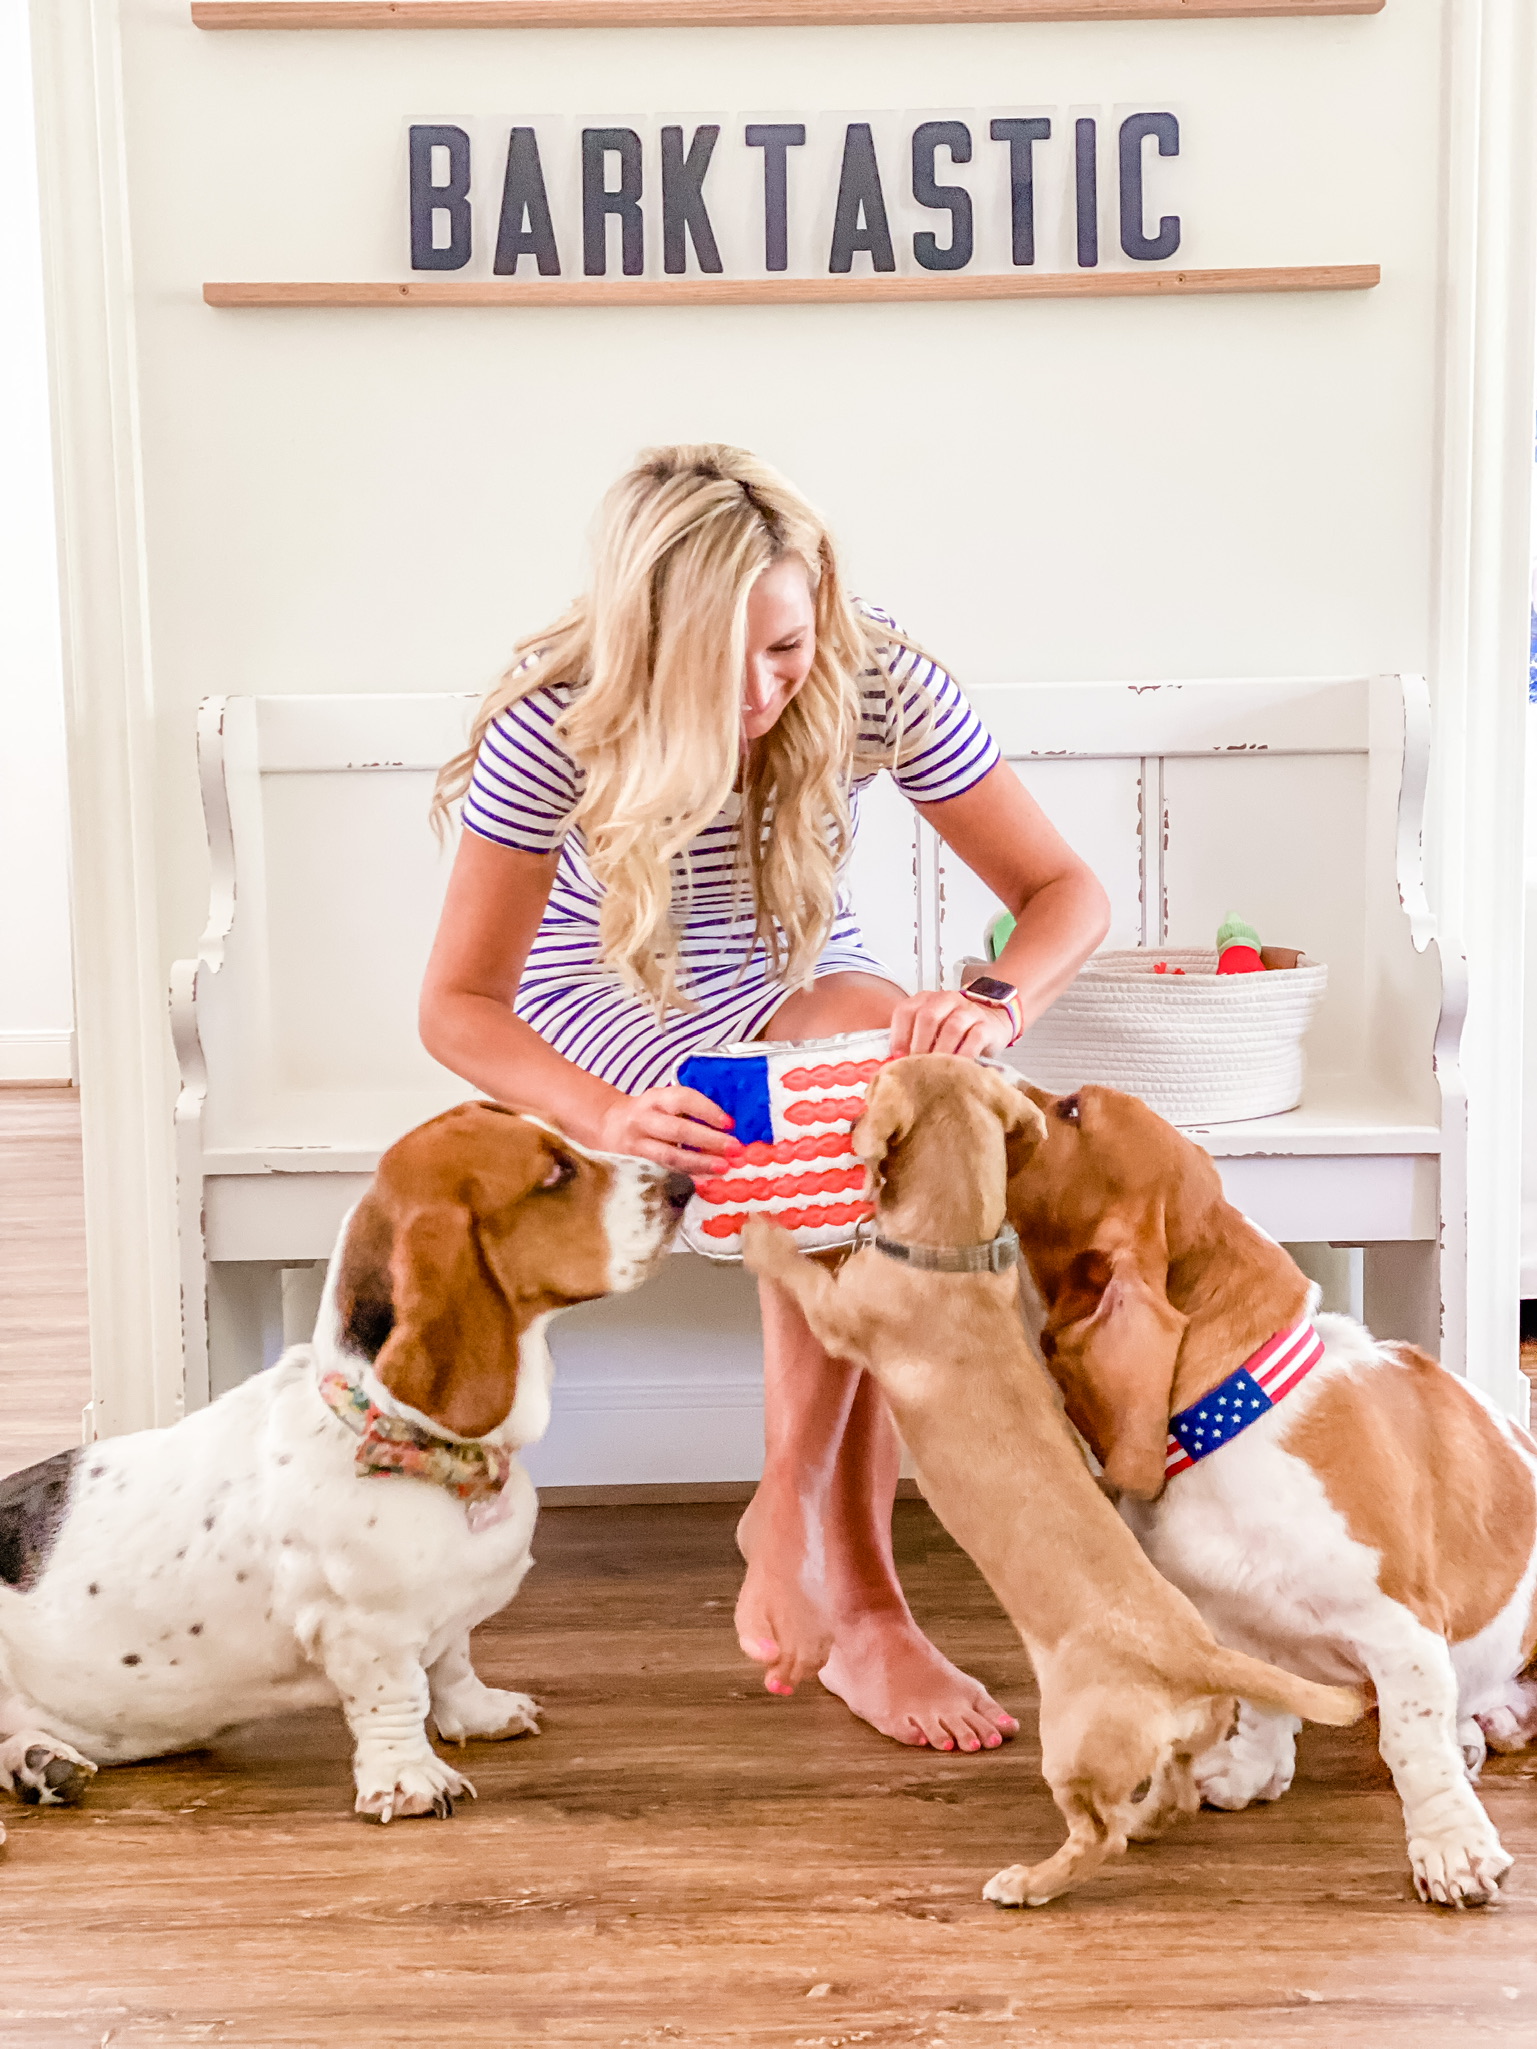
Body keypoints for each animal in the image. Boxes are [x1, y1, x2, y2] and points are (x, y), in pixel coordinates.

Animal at [0, 1106, 688, 1844]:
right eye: (555, 1172)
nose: (682, 1184)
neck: (395, 1434)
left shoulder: (447, 1621)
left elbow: (453, 1662)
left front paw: (478, 1713)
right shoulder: (366, 1630)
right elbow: (398, 1696)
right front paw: (409, 1780)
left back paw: (40, 1762)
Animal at [745, 1057, 1360, 1901]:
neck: (954, 1248)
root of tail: (1191, 1655)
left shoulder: (842, 1315)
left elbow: (805, 1278)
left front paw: (762, 1233)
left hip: (1069, 1744)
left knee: (1098, 1834)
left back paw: (1029, 1881)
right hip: (1180, 1739)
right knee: (1171, 1791)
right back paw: (1146, 1820)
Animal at [1012, 1090, 1537, 1901]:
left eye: (1069, 1110)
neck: (1233, 1424)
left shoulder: (1401, 1631)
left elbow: (1412, 1746)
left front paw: (1451, 1849)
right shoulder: (1235, 1624)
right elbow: (1262, 1704)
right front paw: (1251, 1772)